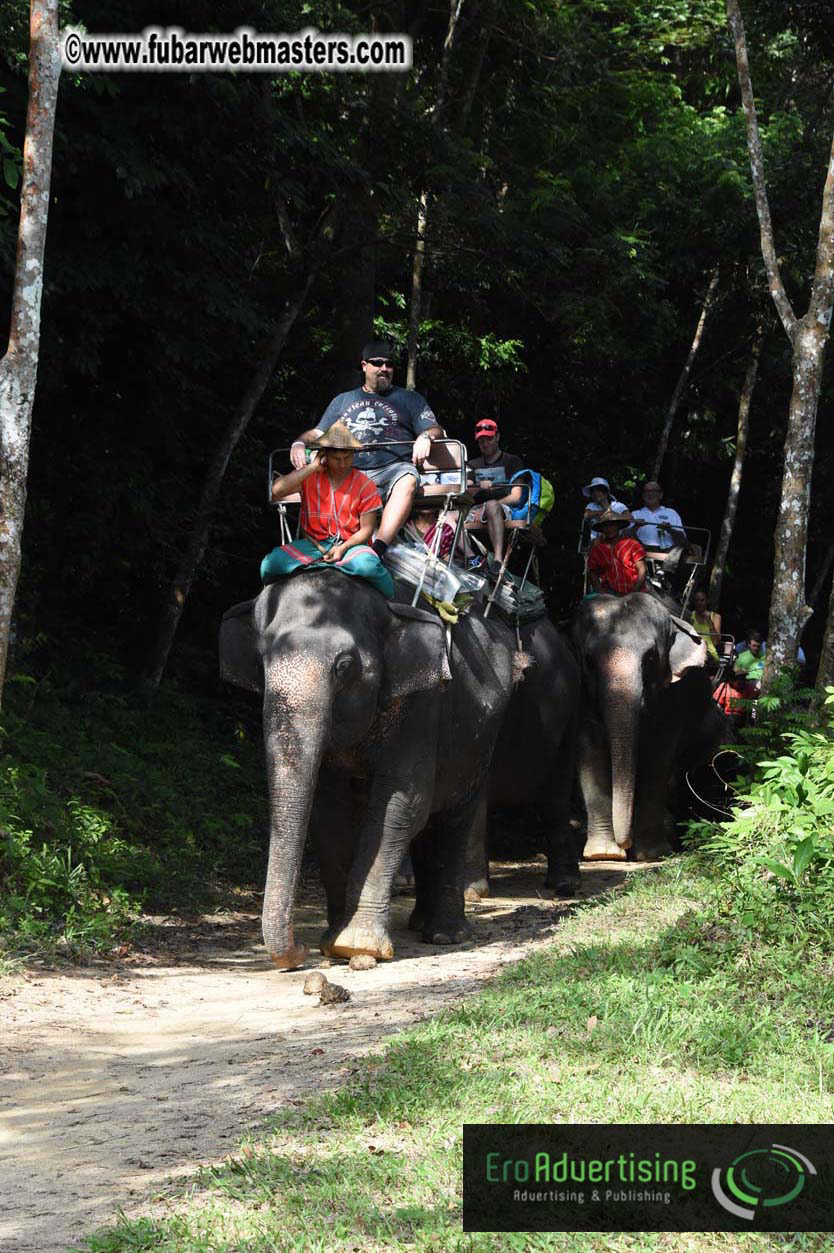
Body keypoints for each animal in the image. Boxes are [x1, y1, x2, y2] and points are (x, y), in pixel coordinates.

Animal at [219, 568, 520, 969]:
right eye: (262, 660)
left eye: (344, 666)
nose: (298, 952)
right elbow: (328, 808)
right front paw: (332, 943)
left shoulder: (422, 703)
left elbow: (401, 803)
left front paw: (358, 946)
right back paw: (420, 924)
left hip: (482, 738)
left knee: (452, 818)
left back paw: (445, 934)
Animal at [572, 592, 717, 861]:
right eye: (589, 661)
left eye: (650, 658)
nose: (625, 845)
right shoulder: (581, 693)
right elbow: (590, 751)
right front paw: (603, 854)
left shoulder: (674, 696)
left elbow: (659, 755)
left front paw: (652, 854)